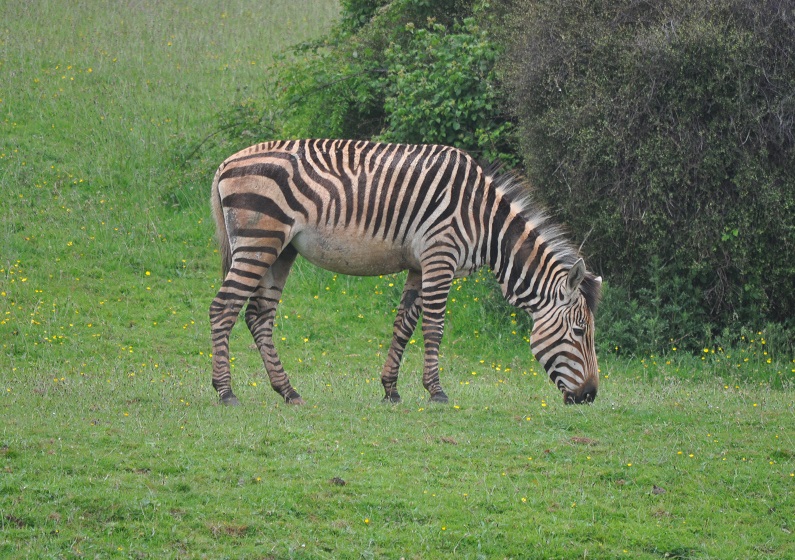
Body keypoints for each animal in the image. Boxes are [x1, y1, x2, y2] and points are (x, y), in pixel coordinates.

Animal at [209, 139, 602, 406]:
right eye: (580, 331)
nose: (590, 396)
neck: (486, 222)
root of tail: (226, 162)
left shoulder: (418, 264)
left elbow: (404, 325)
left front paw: (391, 389)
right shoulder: (440, 256)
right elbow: (434, 327)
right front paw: (437, 391)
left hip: (280, 249)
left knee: (259, 316)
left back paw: (288, 391)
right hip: (260, 241)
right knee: (223, 308)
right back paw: (226, 392)